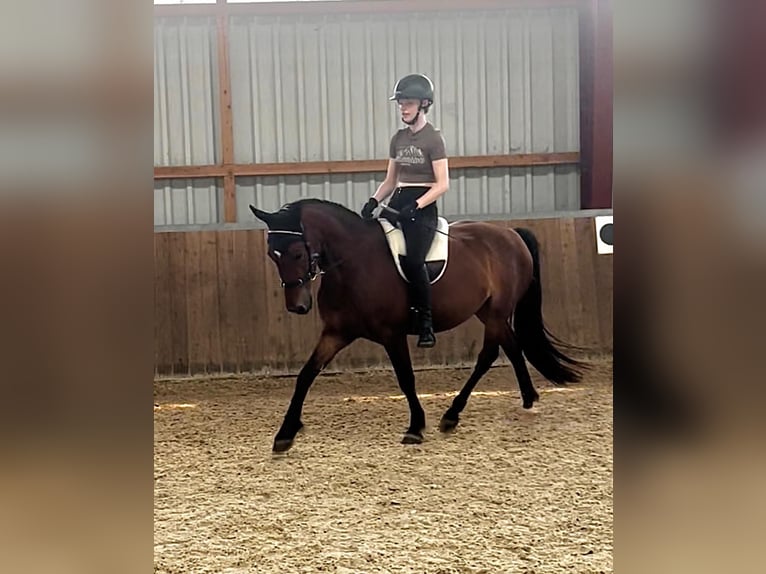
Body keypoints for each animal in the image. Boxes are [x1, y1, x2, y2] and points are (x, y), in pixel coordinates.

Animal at [250, 199, 584, 454]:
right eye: (271, 255)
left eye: (297, 252)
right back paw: (527, 398)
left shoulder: (392, 334)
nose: (297, 306)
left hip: (496, 312)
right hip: (488, 312)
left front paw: (415, 427)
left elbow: (406, 378)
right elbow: (306, 375)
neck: (353, 265)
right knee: (512, 347)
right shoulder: (336, 333)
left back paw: (452, 414)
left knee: (488, 355)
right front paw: (286, 433)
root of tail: (510, 234)